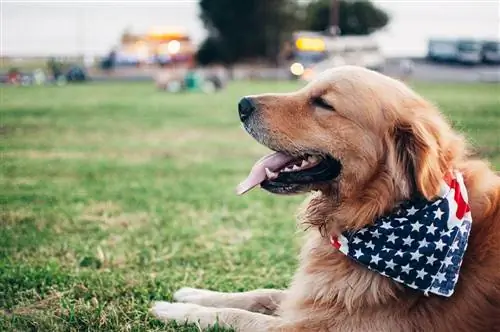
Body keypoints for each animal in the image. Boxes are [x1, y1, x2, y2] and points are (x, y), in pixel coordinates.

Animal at [151, 66, 500, 330]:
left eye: (323, 103)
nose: (242, 104)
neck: (376, 212)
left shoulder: (309, 326)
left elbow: (234, 316)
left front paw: (175, 311)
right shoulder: (312, 298)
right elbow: (257, 294)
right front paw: (192, 294)